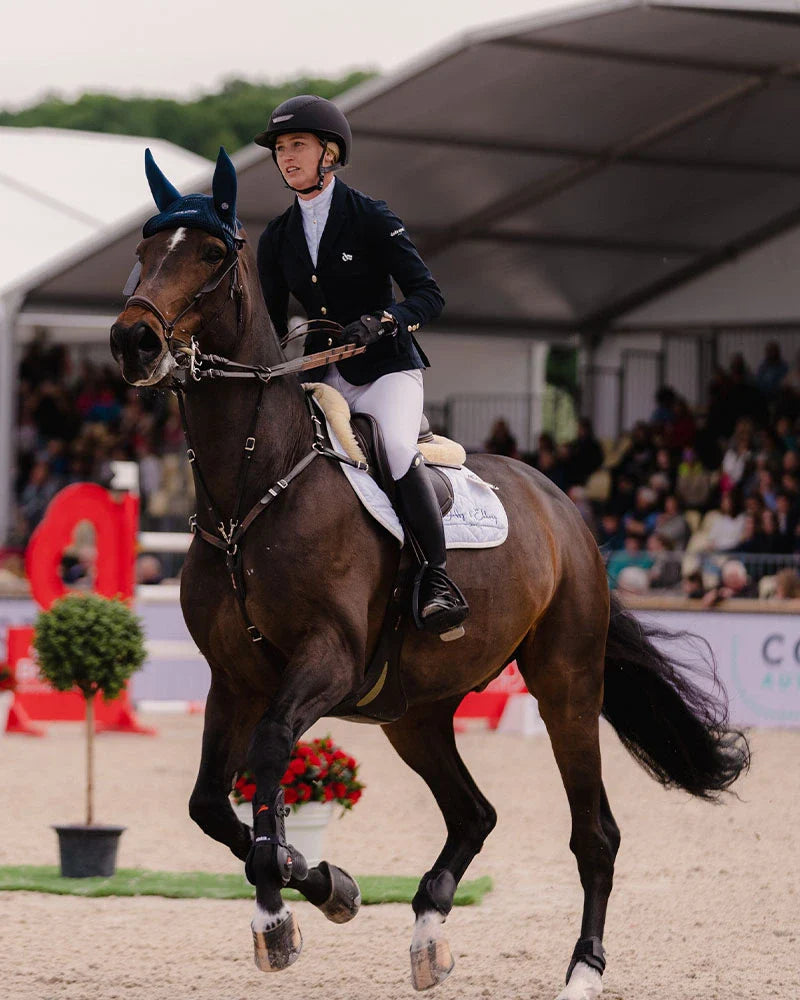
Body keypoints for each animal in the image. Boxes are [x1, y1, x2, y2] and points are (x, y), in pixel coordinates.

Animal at [111, 150, 752, 1000]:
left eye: (212, 255)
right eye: (146, 250)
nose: (133, 342)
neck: (256, 488)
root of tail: (566, 508)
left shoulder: (326, 659)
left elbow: (272, 754)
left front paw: (281, 913)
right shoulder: (235, 677)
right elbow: (211, 804)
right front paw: (324, 890)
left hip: (566, 685)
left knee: (595, 833)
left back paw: (583, 968)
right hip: (412, 712)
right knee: (474, 813)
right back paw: (427, 928)